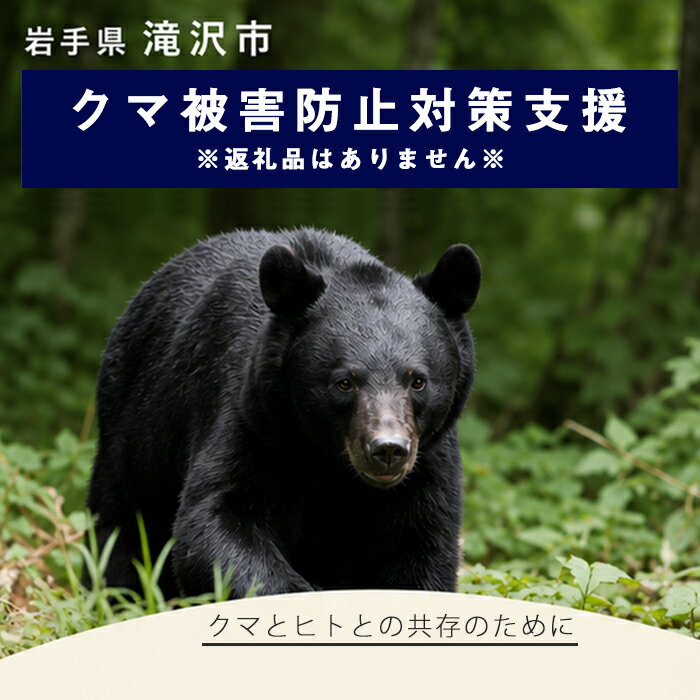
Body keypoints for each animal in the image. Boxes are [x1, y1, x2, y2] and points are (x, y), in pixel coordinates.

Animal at [87, 228, 481, 599]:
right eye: (344, 382)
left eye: (418, 380)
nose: (388, 449)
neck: (331, 465)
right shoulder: (254, 421)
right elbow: (215, 522)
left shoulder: (427, 464)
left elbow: (423, 546)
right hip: (133, 437)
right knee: (119, 532)